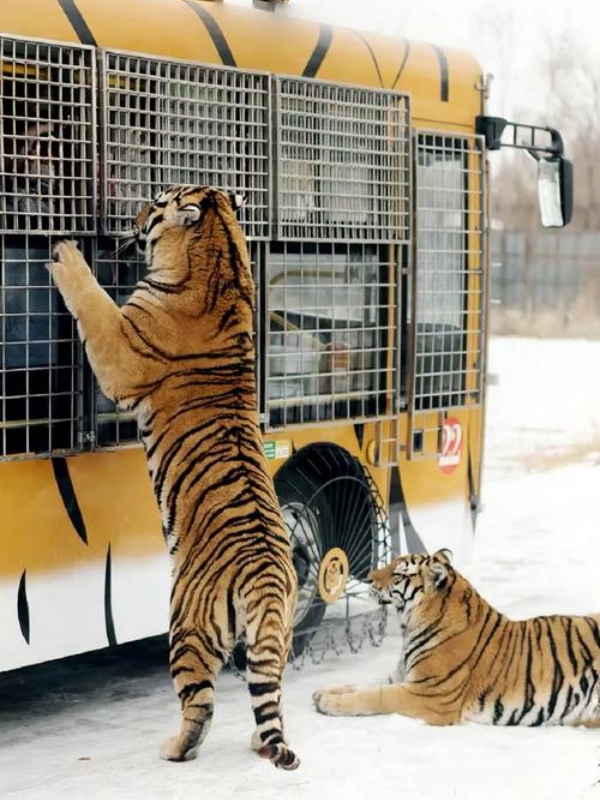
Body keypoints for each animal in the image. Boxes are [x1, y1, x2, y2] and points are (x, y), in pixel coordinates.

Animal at [49, 185, 300, 770]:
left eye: (156, 200)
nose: (134, 213)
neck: (224, 255)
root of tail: (268, 578)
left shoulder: (120, 345)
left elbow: (94, 302)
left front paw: (67, 254)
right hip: (273, 634)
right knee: (270, 693)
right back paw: (259, 741)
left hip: (186, 627)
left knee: (200, 706)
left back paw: (174, 749)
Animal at [313, 549, 600, 727]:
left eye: (397, 573)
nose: (369, 577)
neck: (410, 626)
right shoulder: (403, 677)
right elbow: (363, 685)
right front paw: (325, 691)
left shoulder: (429, 694)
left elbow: (376, 696)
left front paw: (329, 702)